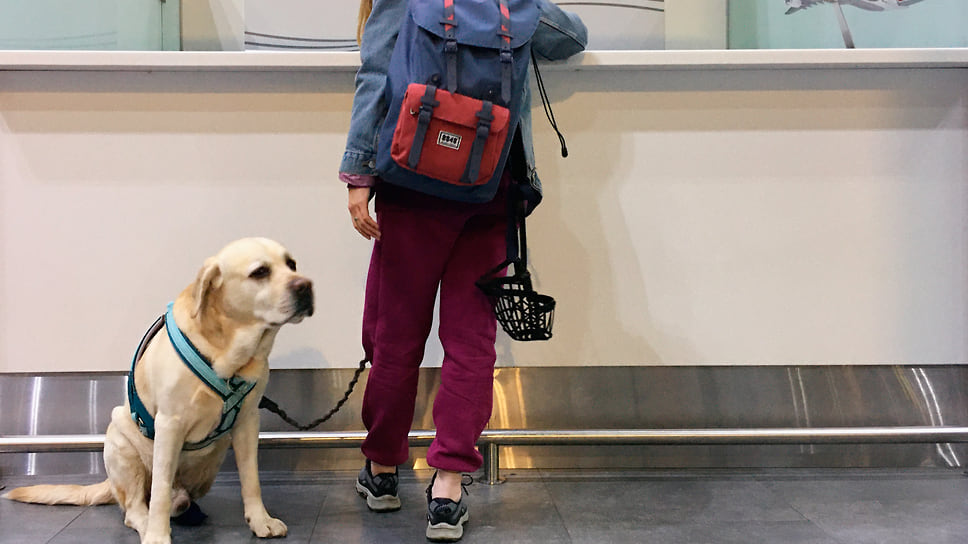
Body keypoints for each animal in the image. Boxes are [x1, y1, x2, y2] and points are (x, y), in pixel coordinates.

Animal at [3, 237, 314, 544]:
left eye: (292, 264)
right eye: (260, 272)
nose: (306, 286)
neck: (227, 355)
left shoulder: (248, 421)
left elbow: (251, 479)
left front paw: (261, 521)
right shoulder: (170, 424)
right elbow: (160, 492)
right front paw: (157, 534)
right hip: (120, 442)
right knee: (135, 507)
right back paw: (147, 521)